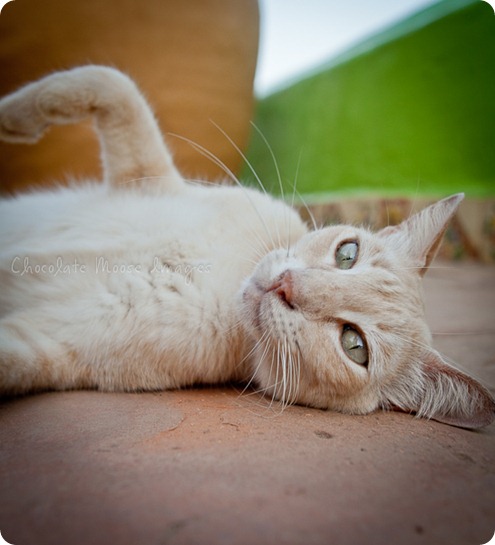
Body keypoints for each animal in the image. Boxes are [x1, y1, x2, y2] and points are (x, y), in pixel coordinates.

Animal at [0, 65, 494, 430]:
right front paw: (12, 116)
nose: (286, 284)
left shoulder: (51, 347)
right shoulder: (145, 173)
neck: (223, 277)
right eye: (347, 254)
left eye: (354, 345)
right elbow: (110, 82)